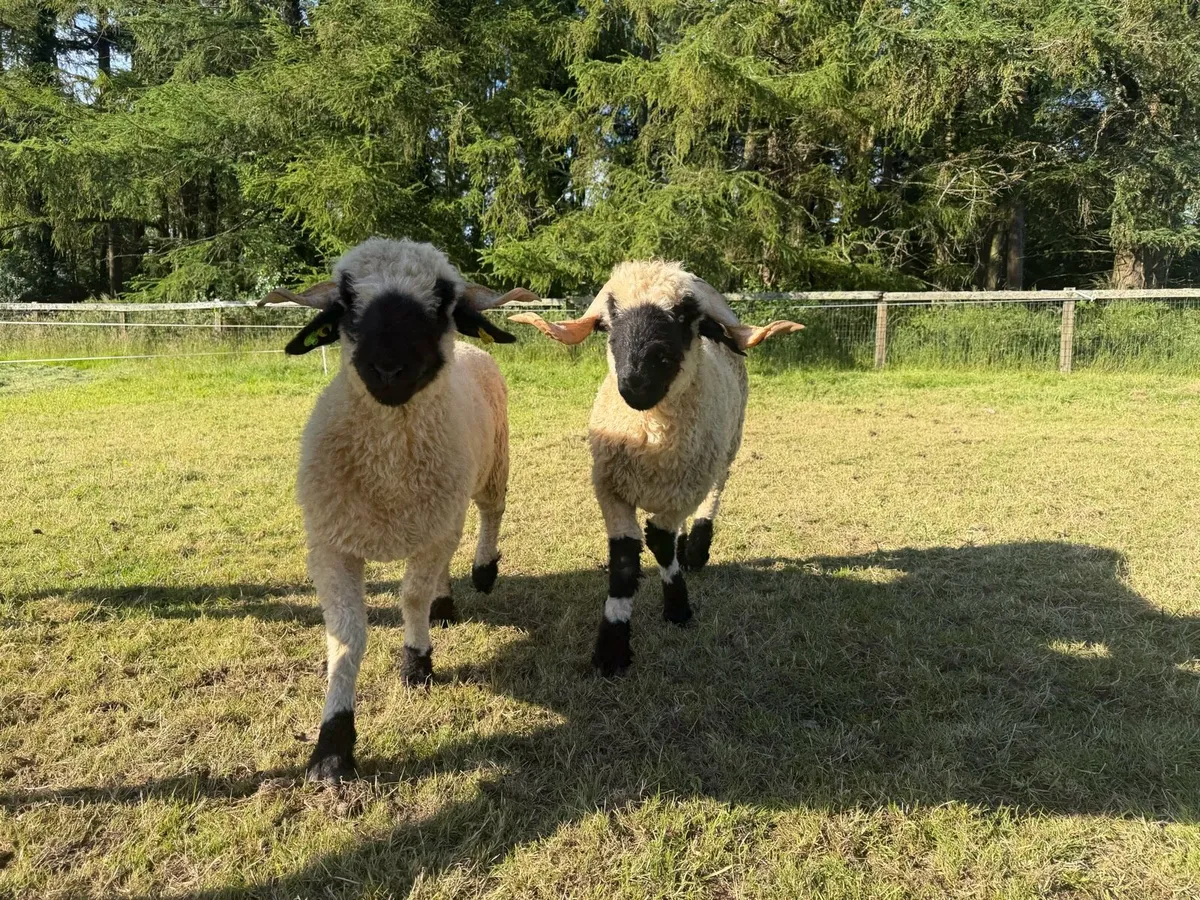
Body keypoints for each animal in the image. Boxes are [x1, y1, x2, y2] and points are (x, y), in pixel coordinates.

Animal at [262, 237, 536, 781]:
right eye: (346, 299)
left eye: (443, 300)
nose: (388, 368)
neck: (388, 474)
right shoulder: (332, 547)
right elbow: (346, 639)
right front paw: (332, 749)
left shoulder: (431, 532)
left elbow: (410, 598)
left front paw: (416, 664)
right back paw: (445, 605)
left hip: (492, 464)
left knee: (490, 513)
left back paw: (483, 570)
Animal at [510, 261, 802, 675]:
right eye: (608, 321)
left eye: (683, 316)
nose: (635, 382)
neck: (652, 437)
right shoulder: (610, 489)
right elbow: (625, 561)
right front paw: (612, 648)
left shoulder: (685, 491)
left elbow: (661, 543)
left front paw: (678, 607)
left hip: (726, 446)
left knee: (715, 491)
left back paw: (696, 549)